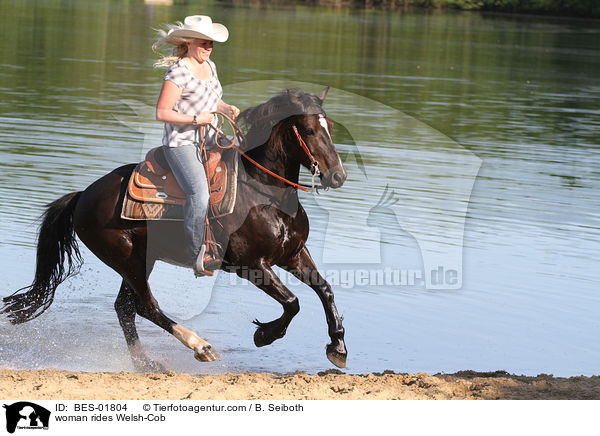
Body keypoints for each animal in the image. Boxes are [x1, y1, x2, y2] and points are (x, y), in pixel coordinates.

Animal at [1, 87, 346, 372]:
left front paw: (338, 347)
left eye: (330, 127)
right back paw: (200, 346)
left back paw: (146, 364)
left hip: (141, 260)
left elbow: (325, 289)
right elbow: (292, 301)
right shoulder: (251, 265)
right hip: (127, 259)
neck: (264, 195)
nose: (338, 176)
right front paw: (265, 334)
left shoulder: (293, 254)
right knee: (146, 306)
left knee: (125, 308)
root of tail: (83, 196)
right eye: (310, 130)